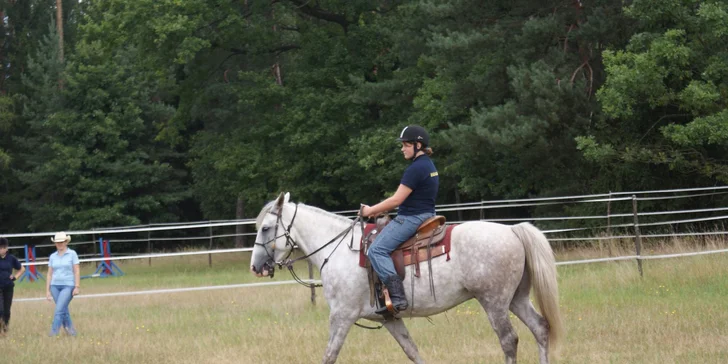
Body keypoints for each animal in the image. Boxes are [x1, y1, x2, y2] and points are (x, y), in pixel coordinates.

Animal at [253, 192, 564, 362]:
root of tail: (512, 230)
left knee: (509, 340)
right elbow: (412, 351)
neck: (339, 249)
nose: (257, 266)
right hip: (516, 298)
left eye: (266, 228)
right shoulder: (390, 318)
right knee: (540, 329)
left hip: (494, 301)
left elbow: (329, 355)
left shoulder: (341, 316)